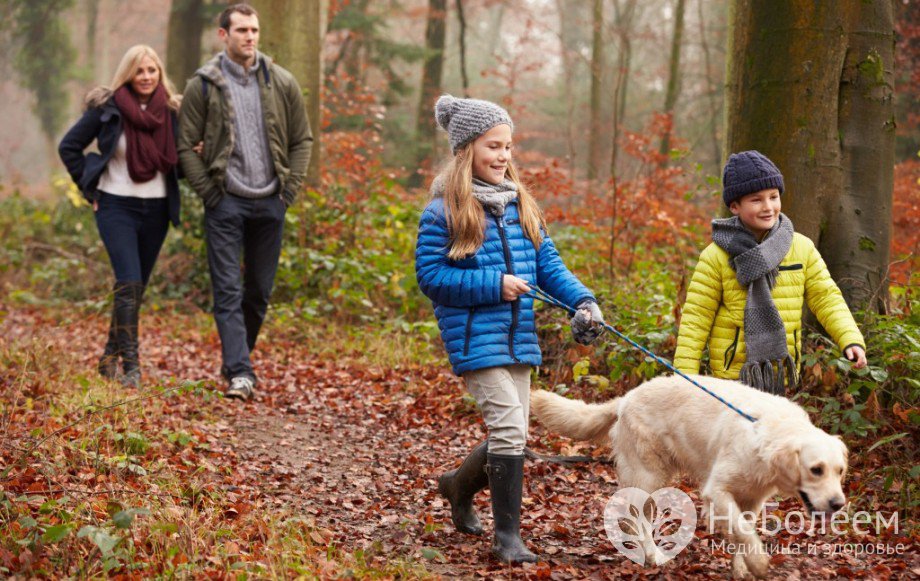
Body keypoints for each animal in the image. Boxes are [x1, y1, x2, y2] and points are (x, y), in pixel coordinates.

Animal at [528, 374, 852, 576]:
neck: (766, 433)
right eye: (816, 469)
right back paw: (653, 556)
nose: (838, 504)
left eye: (840, 471)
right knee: (638, 517)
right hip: (649, 475)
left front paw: (742, 568)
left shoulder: (752, 499)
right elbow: (743, 531)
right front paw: (759, 563)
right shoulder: (717, 490)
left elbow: (742, 531)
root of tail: (625, 399)